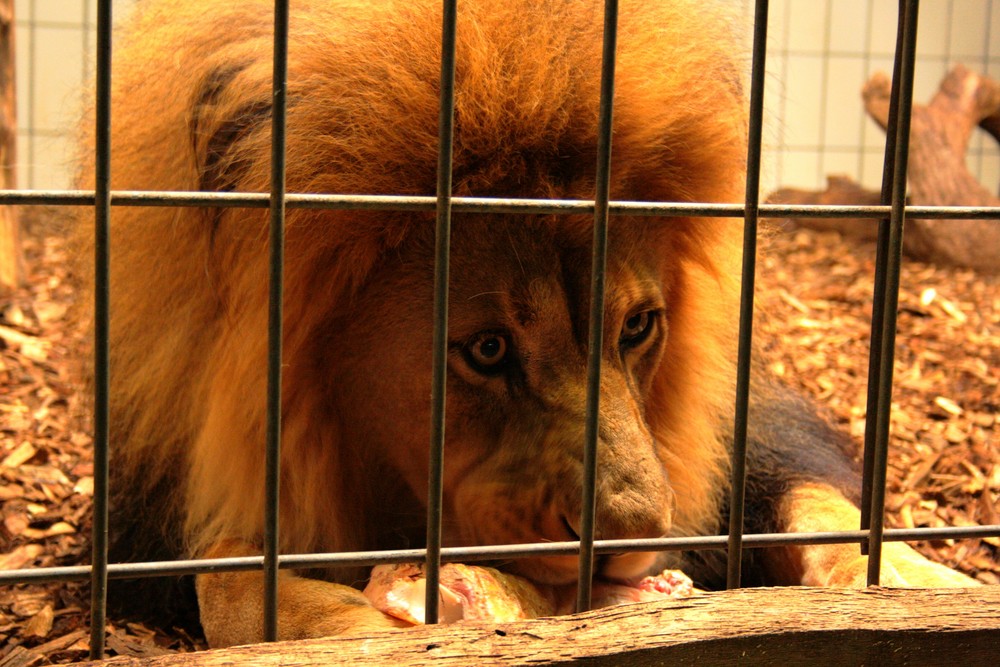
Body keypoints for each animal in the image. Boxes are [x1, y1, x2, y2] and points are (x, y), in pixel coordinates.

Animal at [74, 0, 980, 648]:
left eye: (638, 326)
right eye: (487, 348)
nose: (630, 538)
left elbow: (821, 500)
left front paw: (917, 583)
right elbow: (222, 581)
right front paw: (364, 626)